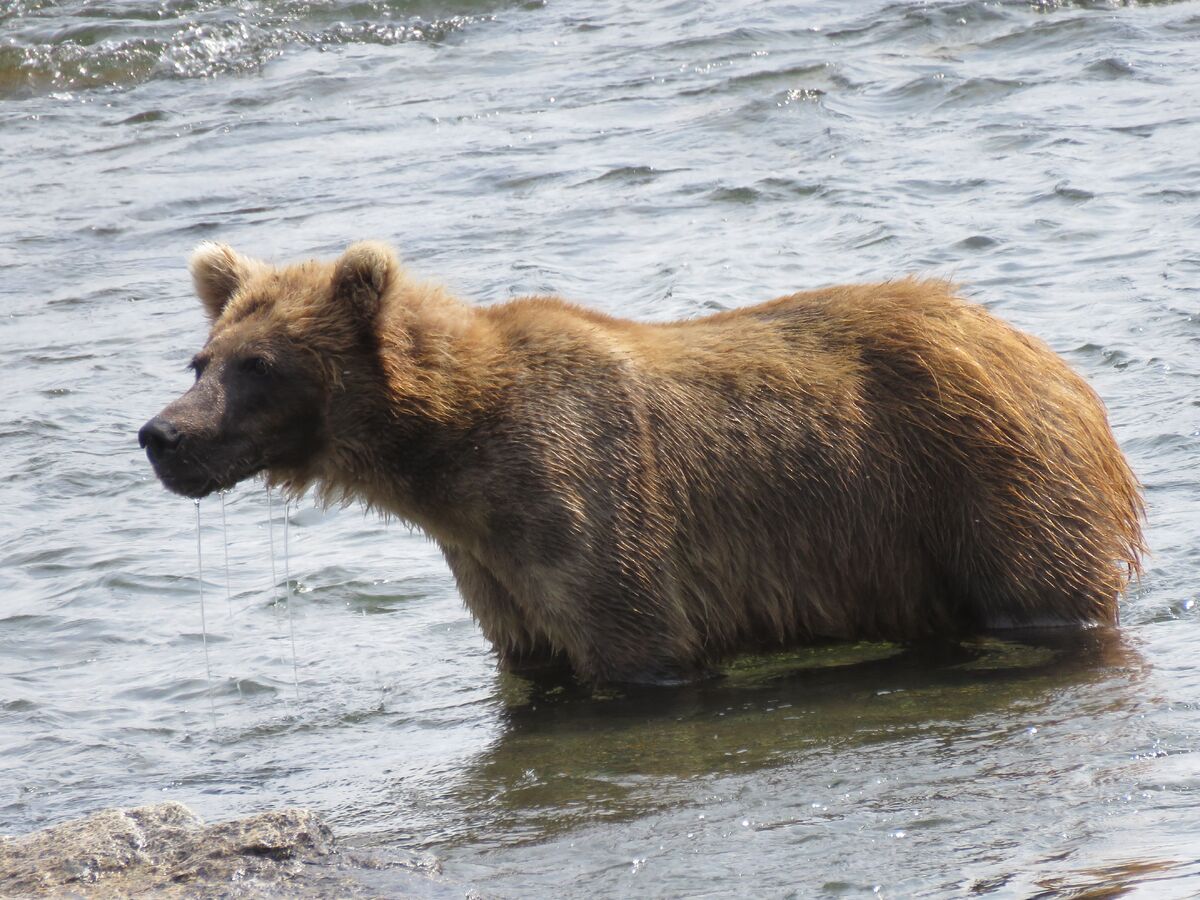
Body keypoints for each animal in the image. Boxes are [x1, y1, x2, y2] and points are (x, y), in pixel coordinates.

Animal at [140, 243, 1142, 686]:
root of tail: (1054, 363)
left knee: (1043, 592)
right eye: (201, 359)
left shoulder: (585, 501)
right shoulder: (493, 567)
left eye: (260, 365)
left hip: (983, 480)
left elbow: (635, 644)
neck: (446, 458)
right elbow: (532, 661)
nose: (161, 435)